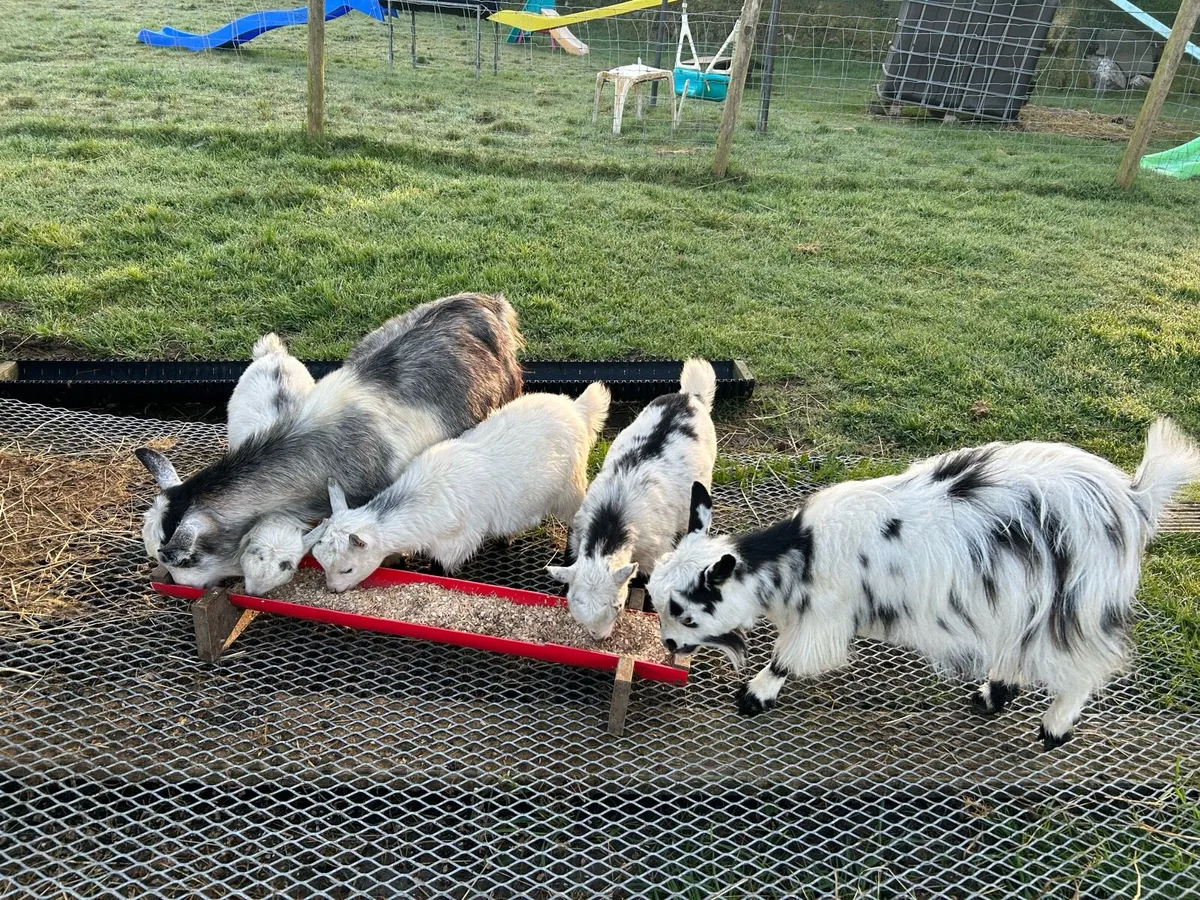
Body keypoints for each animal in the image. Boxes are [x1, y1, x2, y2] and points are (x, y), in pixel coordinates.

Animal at [311, 384, 611, 592]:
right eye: (321, 562)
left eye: (348, 569)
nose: (333, 590)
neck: (423, 495)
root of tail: (577, 408)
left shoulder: (456, 542)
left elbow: (438, 568)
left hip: (570, 486)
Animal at [549, 359, 718, 640]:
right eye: (574, 602)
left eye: (618, 605)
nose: (599, 637)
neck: (613, 514)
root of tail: (689, 396)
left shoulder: (653, 554)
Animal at [647, 420, 1200, 750]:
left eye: (687, 612)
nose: (669, 644)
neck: (805, 553)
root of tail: (1134, 500)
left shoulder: (825, 616)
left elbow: (790, 657)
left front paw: (754, 695)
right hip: (1031, 602)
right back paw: (992, 695)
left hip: (1075, 605)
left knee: (1083, 667)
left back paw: (1055, 727)